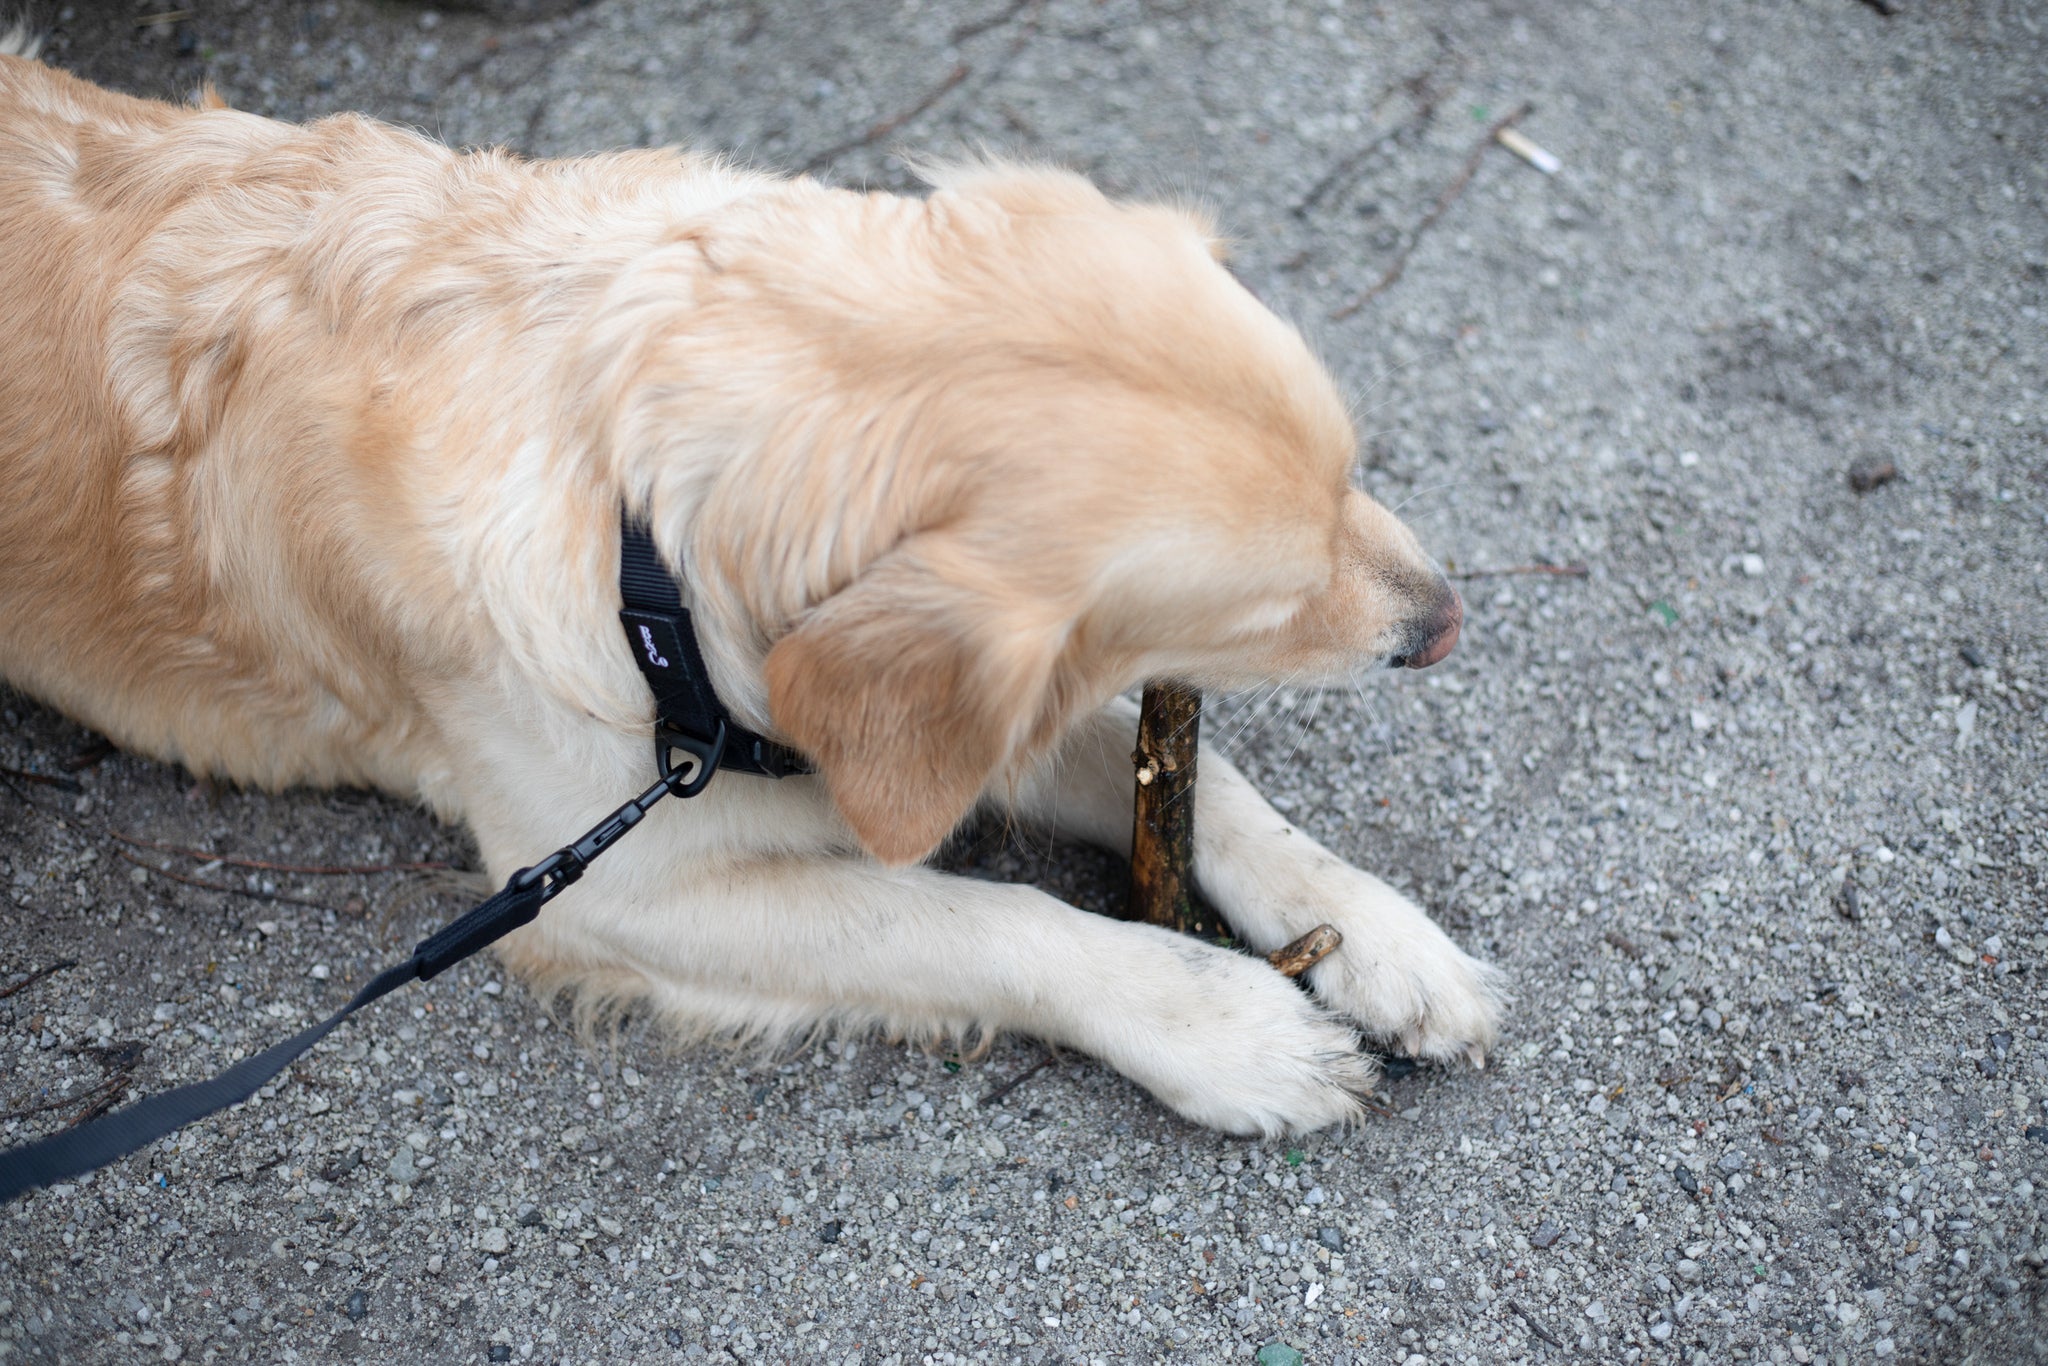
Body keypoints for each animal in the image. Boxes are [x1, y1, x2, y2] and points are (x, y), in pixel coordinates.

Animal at [4, 37, 1507, 1138]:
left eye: (1355, 474)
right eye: (1272, 608)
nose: (1445, 621)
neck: (642, 528)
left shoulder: (946, 708)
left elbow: (1227, 801)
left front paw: (1381, 934)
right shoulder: (607, 885)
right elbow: (976, 918)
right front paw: (1229, 1028)